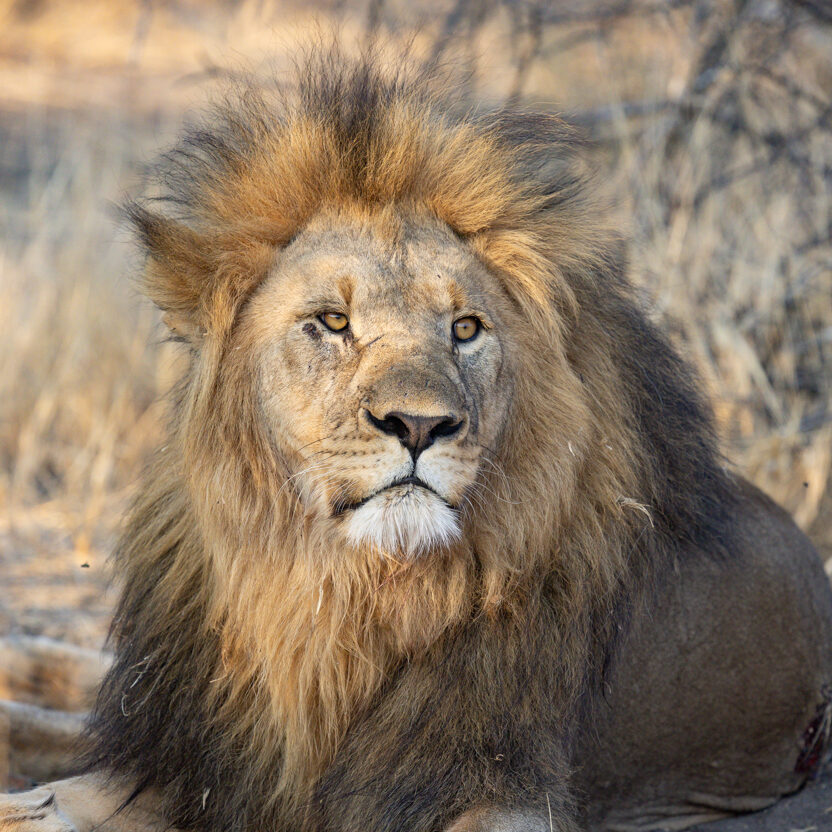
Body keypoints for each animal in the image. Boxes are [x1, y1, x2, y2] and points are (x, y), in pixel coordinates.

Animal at [2, 50, 832, 832]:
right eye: (333, 322)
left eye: (465, 328)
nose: (420, 425)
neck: (337, 600)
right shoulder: (186, 752)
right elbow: (59, 795)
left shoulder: (502, 784)